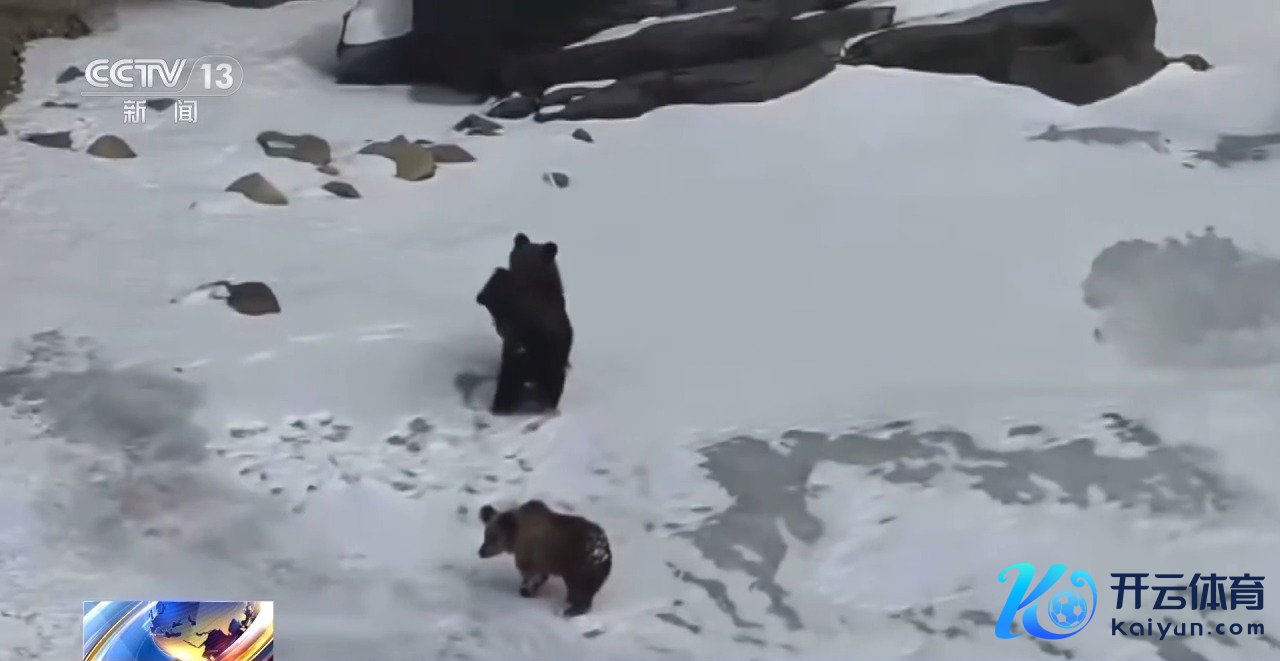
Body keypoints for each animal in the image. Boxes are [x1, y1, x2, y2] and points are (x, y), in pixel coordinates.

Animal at [478, 499, 612, 617]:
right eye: (485, 535)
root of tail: (603, 551)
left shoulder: (528, 556)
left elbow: (529, 576)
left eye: (493, 537)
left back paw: (567, 611)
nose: (481, 552)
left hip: (577, 566)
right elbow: (541, 576)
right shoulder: (541, 560)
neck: (515, 537)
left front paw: (525, 591)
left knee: (578, 592)